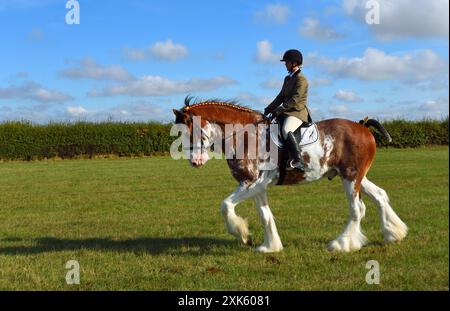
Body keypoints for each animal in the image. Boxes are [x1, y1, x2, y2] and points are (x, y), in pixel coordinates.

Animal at [172, 97, 408, 254]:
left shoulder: (251, 182)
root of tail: (362, 126)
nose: (195, 162)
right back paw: (394, 233)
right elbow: (265, 215)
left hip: (351, 177)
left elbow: (226, 205)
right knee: (380, 196)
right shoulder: (256, 185)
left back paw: (341, 244)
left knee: (357, 209)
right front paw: (270, 246)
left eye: (192, 131)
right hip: (356, 177)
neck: (245, 135)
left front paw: (242, 235)